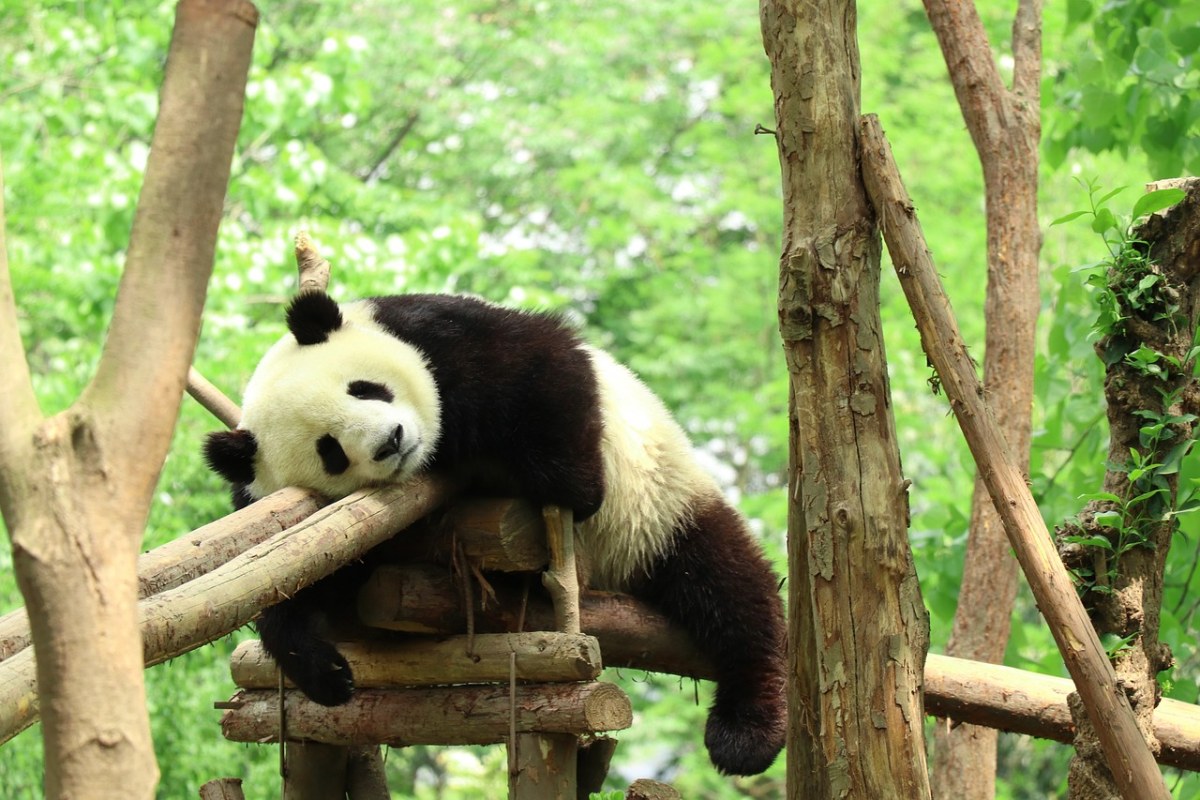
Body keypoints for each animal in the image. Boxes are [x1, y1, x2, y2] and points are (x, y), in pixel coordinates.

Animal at [204, 292, 787, 777]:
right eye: (331, 451)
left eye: (365, 389)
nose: (392, 441)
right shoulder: (275, 506)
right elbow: (287, 578)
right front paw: (326, 672)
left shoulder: (438, 336)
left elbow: (542, 364)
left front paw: (575, 486)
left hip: (658, 506)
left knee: (730, 594)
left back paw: (745, 735)